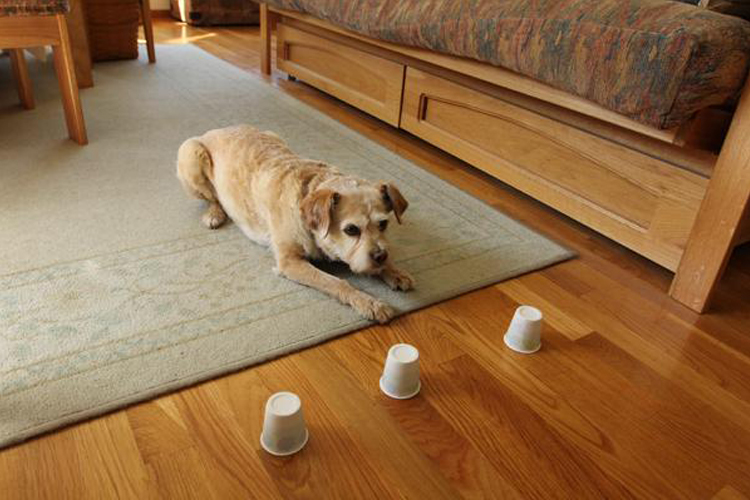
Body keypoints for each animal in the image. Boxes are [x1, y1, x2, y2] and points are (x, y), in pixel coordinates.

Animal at [178, 123, 418, 322]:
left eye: (383, 224)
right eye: (351, 230)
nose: (380, 257)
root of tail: (218, 129)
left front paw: (393, 271)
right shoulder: (289, 261)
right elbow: (337, 282)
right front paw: (369, 302)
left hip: (275, 135)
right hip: (190, 156)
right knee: (212, 197)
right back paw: (215, 213)